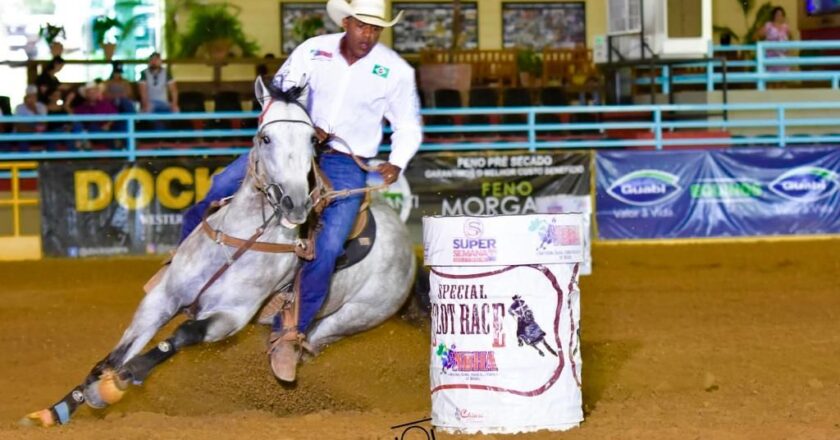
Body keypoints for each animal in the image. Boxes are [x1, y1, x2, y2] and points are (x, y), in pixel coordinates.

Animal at [24, 77, 418, 428]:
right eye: (266, 137)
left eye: (311, 140)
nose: (295, 204)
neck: (240, 237)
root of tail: (407, 247)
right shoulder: (161, 298)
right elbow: (115, 353)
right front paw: (63, 406)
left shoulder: (230, 317)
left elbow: (180, 336)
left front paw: (118, 383)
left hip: (354, 318)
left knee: (310, 343)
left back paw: (285, 361)